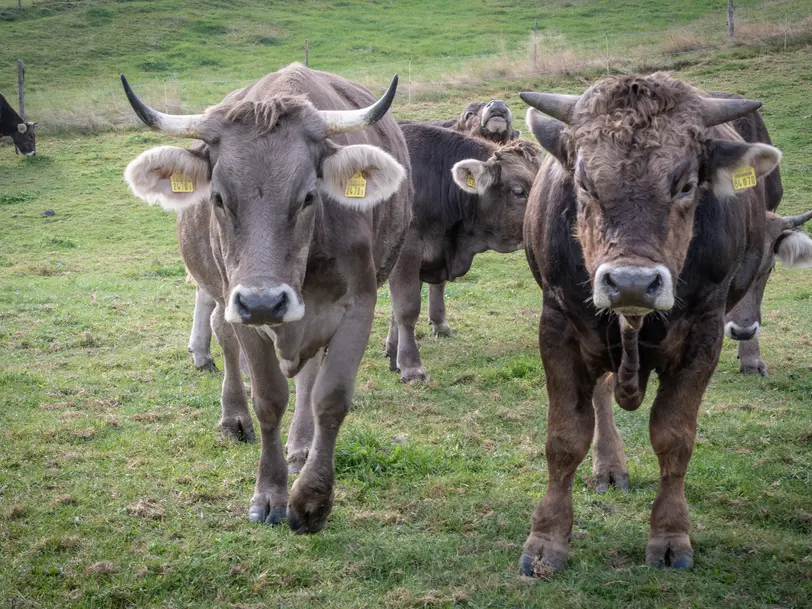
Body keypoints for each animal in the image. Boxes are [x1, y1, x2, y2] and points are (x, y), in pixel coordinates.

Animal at [122, 64, 412, 532]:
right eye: (218, 198)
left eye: (309, 196)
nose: (263, 302)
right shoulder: (242, 310)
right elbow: (269, 400)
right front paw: (270, 495)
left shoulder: (357, 305)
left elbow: (329, 397)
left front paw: (311, 499)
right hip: (223, 296)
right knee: (222, 333)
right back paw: (233, 417)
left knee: (308, 374)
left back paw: (301, 444)